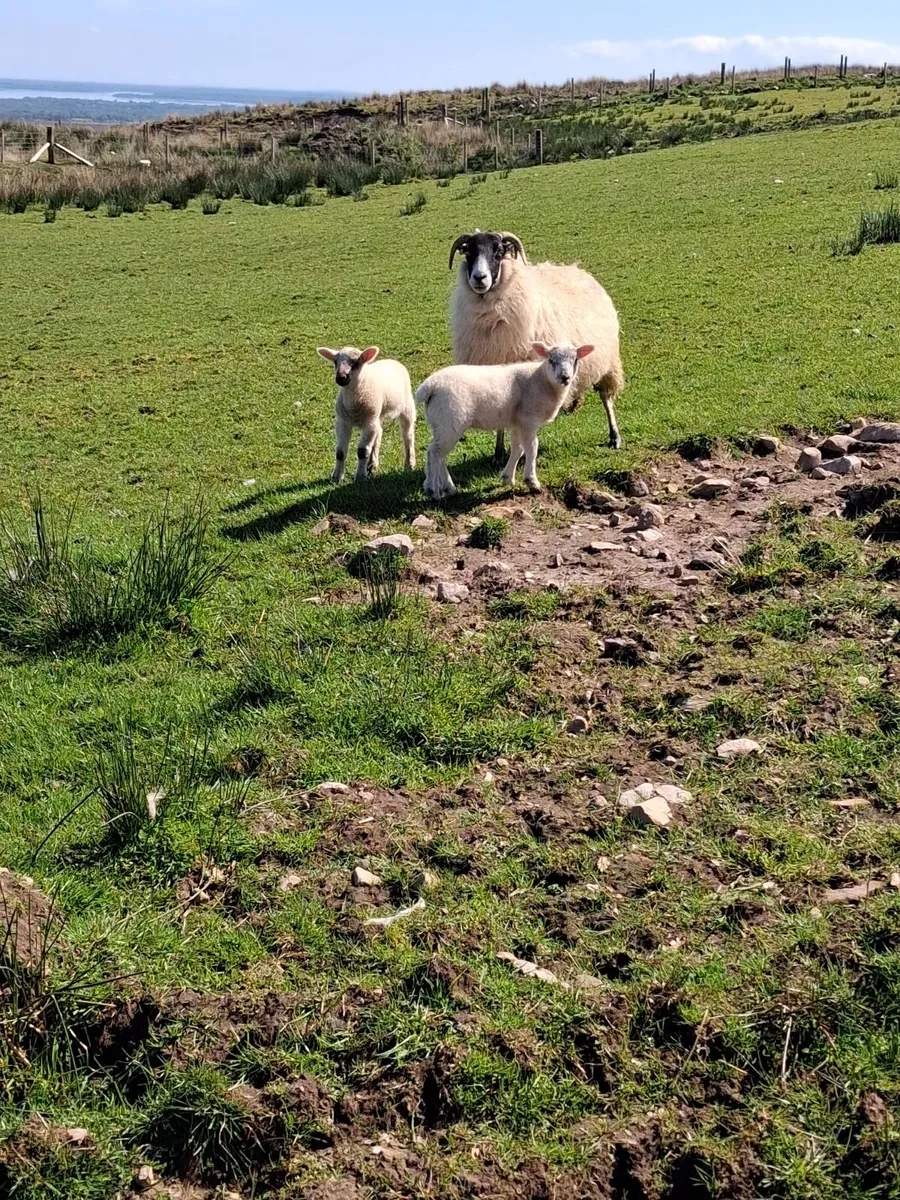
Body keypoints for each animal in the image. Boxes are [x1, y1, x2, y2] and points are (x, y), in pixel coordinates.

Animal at [316, 345, 416, 484]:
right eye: (335, 362)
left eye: (356, 362)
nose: (341, 377)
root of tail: (392, 361)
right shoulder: (343, 422)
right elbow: (340, 452)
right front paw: (336, 477)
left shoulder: (369, 423)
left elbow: (362, 451)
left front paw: (360, 477)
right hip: (376, 415)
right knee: (379, 433)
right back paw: (372, 465)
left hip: (406, 407)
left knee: (408, 435)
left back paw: (409, 464)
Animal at [418, 341, 594, 499]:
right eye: (551, 360)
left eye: (575, 360)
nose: (565, 377)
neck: (541, 380)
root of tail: (430, 385)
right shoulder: (528, 420)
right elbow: (532, 448)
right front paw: (532, 482)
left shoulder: (516, 422)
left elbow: (518, 449)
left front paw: (507, 478)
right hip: (451, 420)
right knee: (435, 452)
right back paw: (433, 490)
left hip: (441, 422)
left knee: (439, 453)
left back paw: (448, 487)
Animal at [448, 229, 625, 461]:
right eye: (468, 252)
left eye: (499, 252)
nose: (479, 278)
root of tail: (577, 269)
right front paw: (498, 453)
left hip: (608, 362)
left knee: (606, 398)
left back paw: (615, 436)